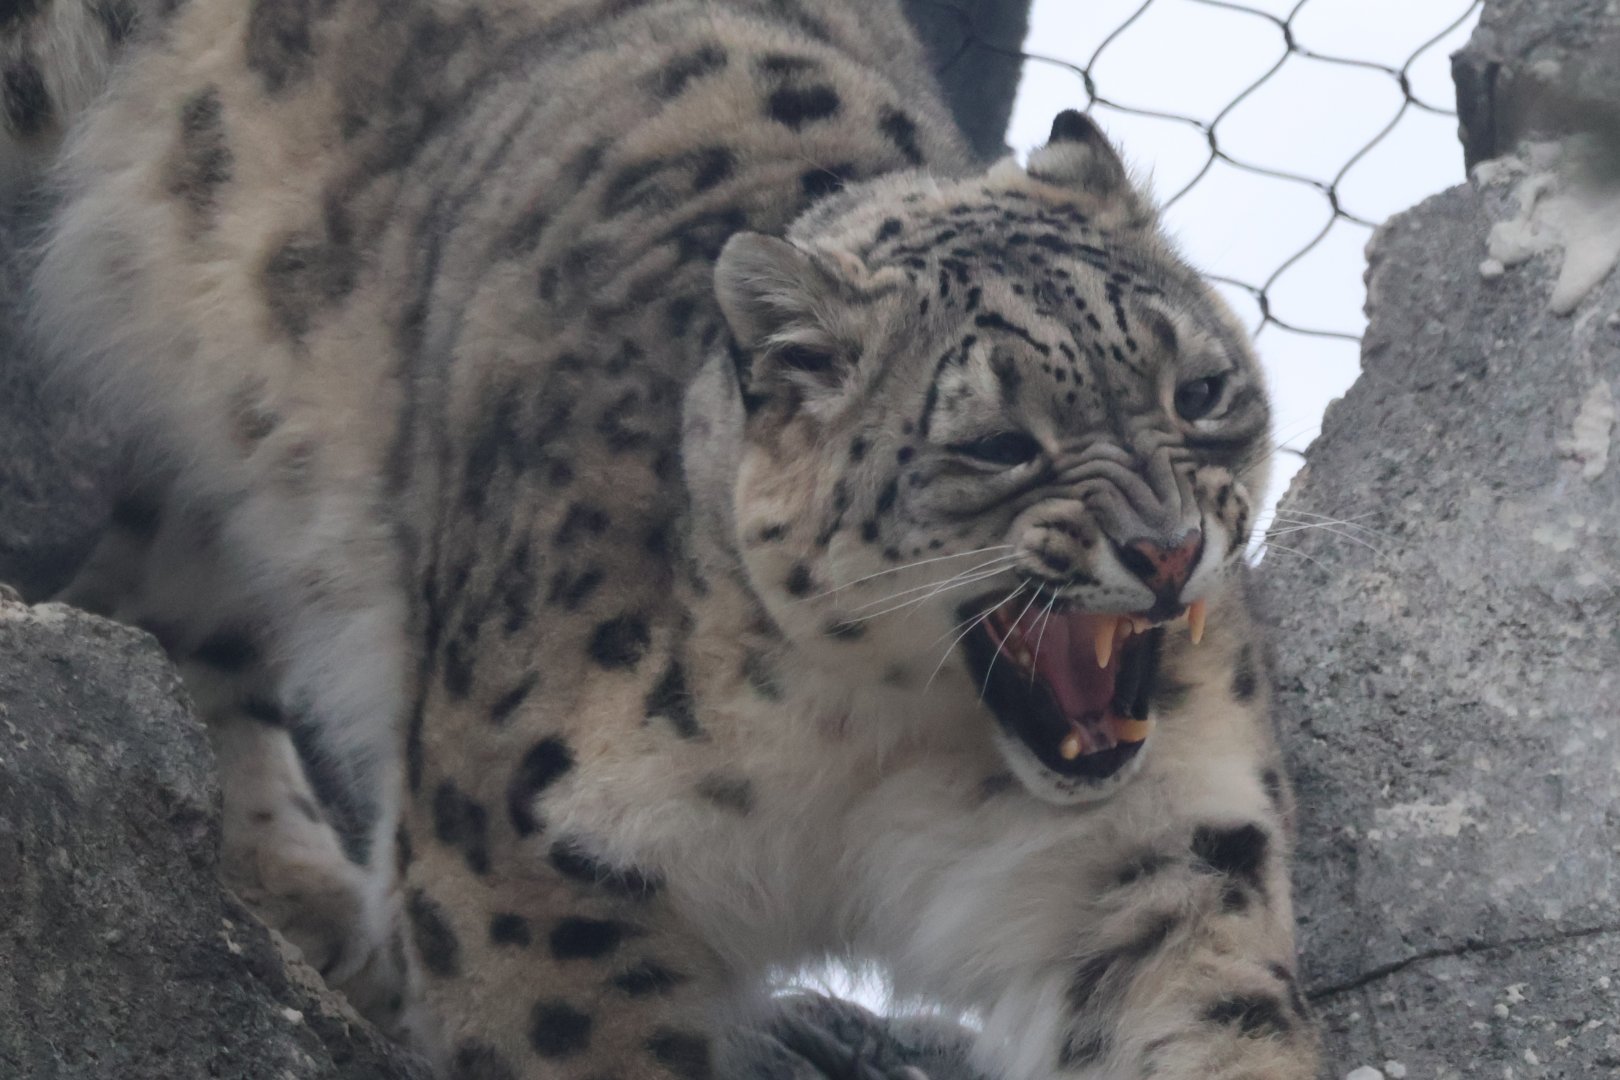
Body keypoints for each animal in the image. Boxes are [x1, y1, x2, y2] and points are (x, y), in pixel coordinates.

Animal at [1, 0, 1320, 1077]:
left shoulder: (1160, 846)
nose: (1167, 550)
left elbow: (1206, 1017)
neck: (876, 738)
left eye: (1201, 391)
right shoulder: (512, 857)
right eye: (1000, 446)